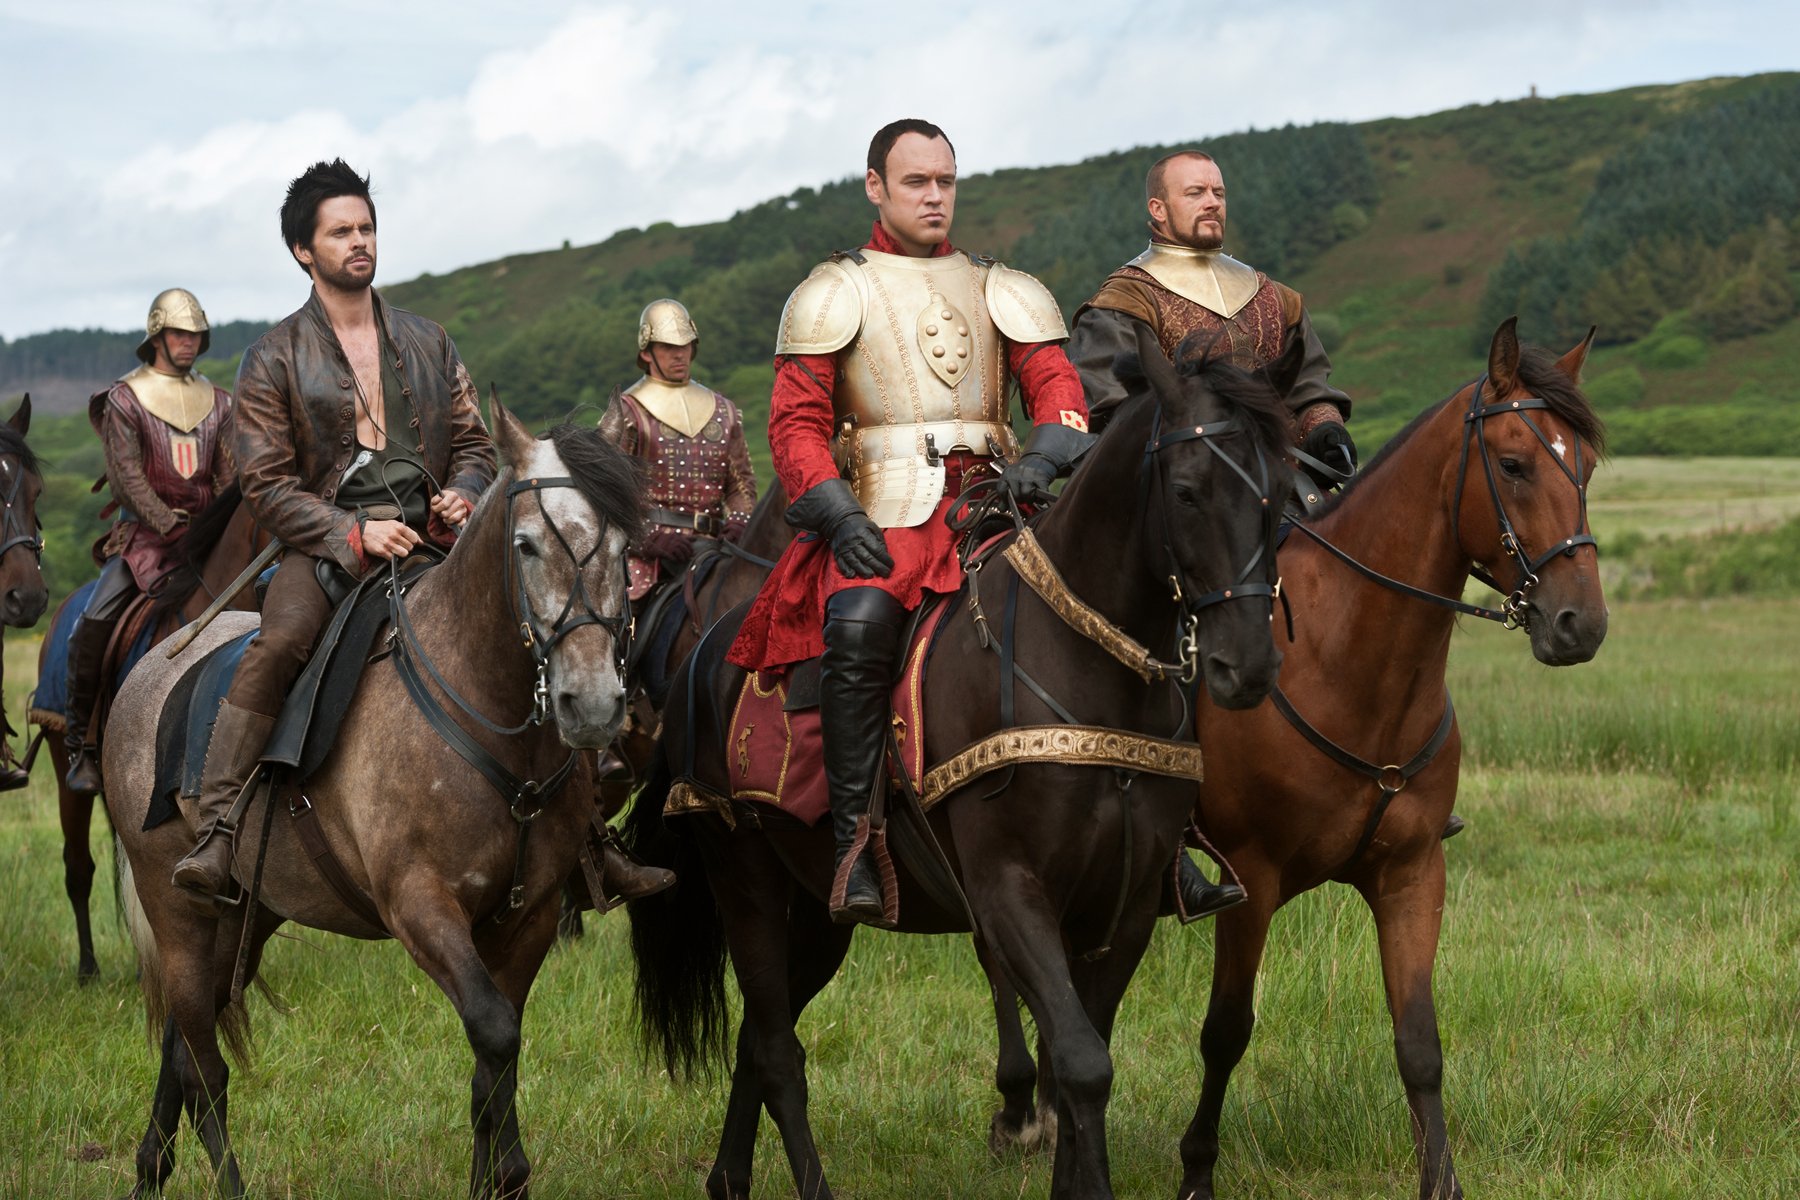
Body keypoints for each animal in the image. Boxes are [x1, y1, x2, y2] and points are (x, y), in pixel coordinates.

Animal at [107, 408, 640, 1194]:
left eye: (626, 548)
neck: (480, 704)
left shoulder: (530, 916)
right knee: (203, 1068)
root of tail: (145, 674)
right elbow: (494, 1031)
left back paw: (150, 1169)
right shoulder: (420, 905)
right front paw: (506, 1172)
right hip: (176, 908)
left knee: (183, 1041)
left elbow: (496, 1061)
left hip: (243, 915)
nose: (594, 704)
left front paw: (497, 1179)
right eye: (526, 545)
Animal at [626, 325, 1303, 1200]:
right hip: (743, 874)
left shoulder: (1119, 907)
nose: (1245, 667)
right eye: (1186, 492)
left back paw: (727, 1180)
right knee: (775, 1048)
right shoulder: (1011, 893)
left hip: (817, 909)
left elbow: (1082, 1054)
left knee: (757, 1035)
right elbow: (1082, 1064)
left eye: (1280, 495)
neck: (1090, 671)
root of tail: (703, 649)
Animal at [979, 322, 1612, 1200]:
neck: (1347, 662)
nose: (1579, 623)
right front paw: (1196, 1173)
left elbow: (1420, 1041)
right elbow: (1225, 1033)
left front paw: (1441, 1182)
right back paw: (1020, 1111)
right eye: (1515, 463)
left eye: (1584, 466)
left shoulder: (1412, 874)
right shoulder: (1251, 879)